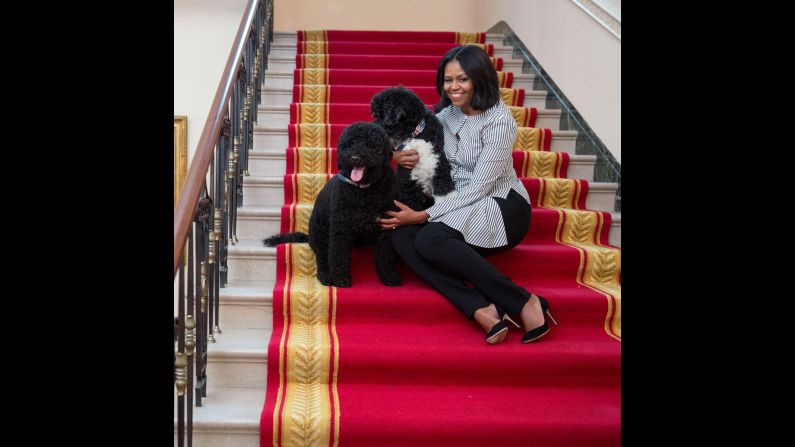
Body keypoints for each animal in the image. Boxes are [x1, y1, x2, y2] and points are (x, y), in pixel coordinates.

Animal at [264, 121, 402, 288]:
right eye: (350, 143)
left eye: (370, 143)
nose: (354, 158)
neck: (364, 190)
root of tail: (309, 236)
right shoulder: (340, 228)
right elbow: (338, 256)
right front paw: (340, 278)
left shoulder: (386, 228)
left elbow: (385, 255)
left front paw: (389, 276)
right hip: (321, 234)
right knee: (322, 258)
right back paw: (325, 276)